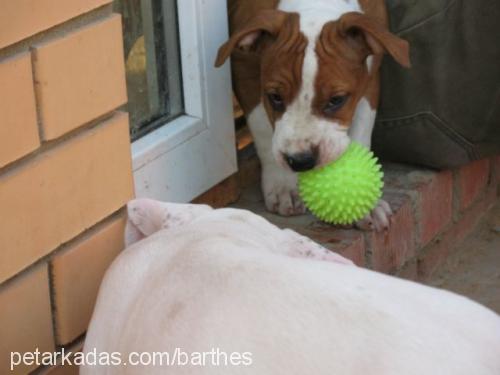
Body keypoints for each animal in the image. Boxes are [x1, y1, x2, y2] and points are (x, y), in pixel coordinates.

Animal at [215, 0, 410, 229]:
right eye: (275, 97)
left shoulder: (370, 77)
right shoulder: (244, 69)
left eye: (336, 100)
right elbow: (263, 131)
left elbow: (362, 131)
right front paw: (283, 185)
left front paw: (367, 204)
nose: (300, 161)